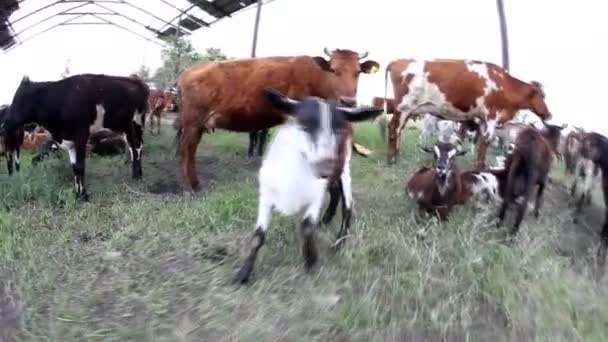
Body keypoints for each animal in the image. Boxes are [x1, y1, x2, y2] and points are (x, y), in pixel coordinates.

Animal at [1, 73, 149, 199]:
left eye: (20, 100)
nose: (4, 125)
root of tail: (136, 80)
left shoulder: (81, 136)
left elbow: (80, 166)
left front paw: (83, 196)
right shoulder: (70, 141)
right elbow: (74, 168)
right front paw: (77, 193)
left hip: (138, 120)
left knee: (138, 147)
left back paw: (138, 175)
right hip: (126, 126)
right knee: (133, 147)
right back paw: (136, 174)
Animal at [176, 48, 382, 192]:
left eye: (358, 72)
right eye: (333, 70)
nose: (348, 101)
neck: (315, 77)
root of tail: (189, 70)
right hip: (192, 122)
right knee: (187, 151)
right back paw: (190, 187)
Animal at [235, 87, 382, 284]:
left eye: (337, 130)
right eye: (306, 124)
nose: (326, 166)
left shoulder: (315, 194)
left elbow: (306, 226)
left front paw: (311, 260)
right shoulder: (266, 196)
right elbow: (258, 237)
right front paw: (243, 273)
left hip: (345, 171)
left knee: (348, 206)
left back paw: (339, 242)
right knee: (335, 193)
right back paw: (326, 220)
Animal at [382, 57, 552, 166]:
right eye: (542, 96)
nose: (549, 114)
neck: (505, 84)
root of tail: (399, 60)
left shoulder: (483, 119)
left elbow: (481, 141)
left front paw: (479, 163)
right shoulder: (491, 115)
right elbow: (486, 140)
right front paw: (480, 166)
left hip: (410, 109)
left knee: (399, 130)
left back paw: (397, 154)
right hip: (404, 107)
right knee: (393, 128)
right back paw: (391, 159)